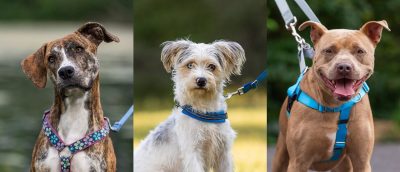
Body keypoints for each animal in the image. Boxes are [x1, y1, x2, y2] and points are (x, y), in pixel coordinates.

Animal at [134, 39, 247, 172]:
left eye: (212, 66)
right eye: (189, 65)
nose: (201, 80)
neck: (204, 109)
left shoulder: (223, 153)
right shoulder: (192, 152)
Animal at [274, 20, 390, 172]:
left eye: (360, 51)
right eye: (329, 50)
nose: (344, 67)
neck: (335, 106)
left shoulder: (362, 161)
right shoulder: (298, 162)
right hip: (281, 155)